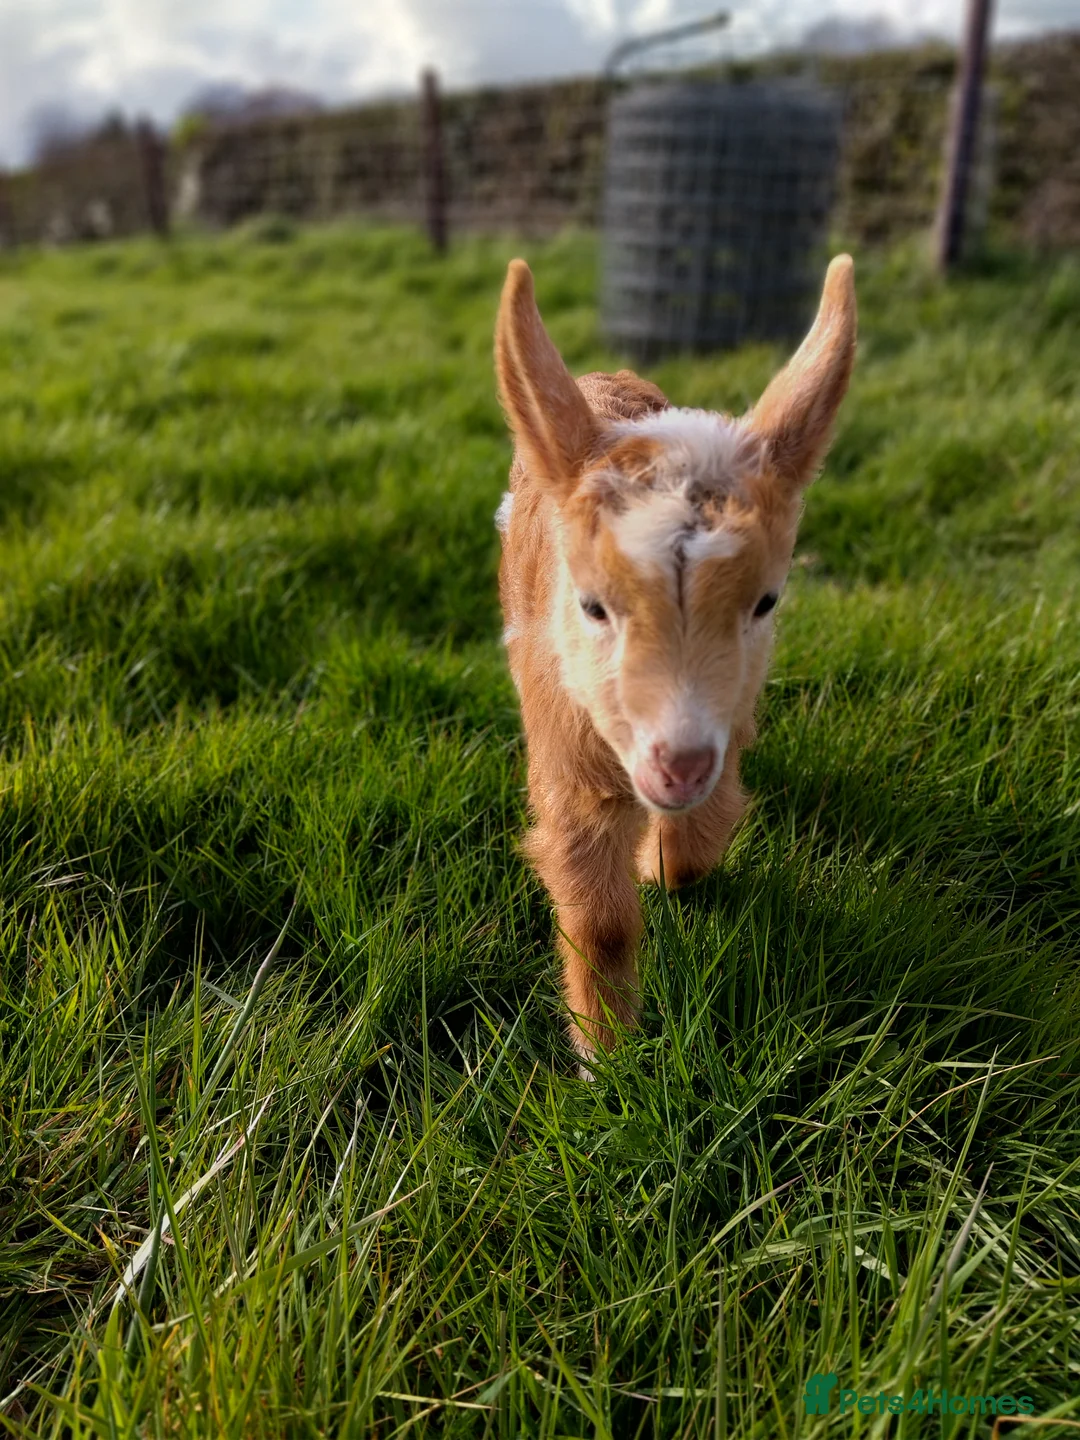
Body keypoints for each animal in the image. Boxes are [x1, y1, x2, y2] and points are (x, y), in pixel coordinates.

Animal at [495, 256, 857, 1067]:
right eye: (593, 605)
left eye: (765, 602)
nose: (680, 765)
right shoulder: (567, 760)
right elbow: (600, 923)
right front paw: (606, 1057)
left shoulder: (729, 729)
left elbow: (697, 849)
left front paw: (662, 869)